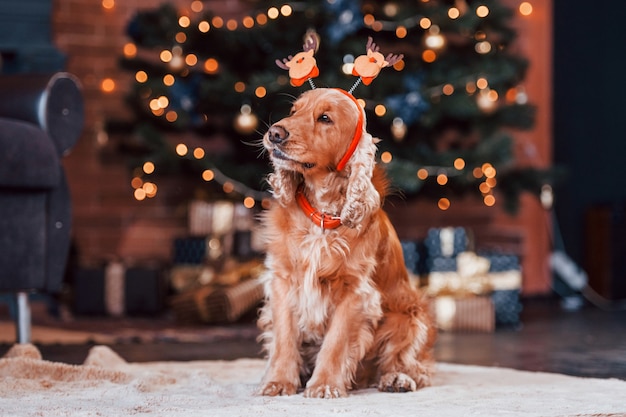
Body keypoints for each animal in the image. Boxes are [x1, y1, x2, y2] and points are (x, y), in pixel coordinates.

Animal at [256, 87, 432, 396]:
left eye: (325, 118)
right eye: (294, 111)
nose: (274, 133)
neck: (322, 213)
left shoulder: (355, 291)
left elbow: (336, 341)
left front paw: (325, 385)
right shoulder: (282, 280)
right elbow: (284, 336)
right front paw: (278, 382)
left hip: (409, 316)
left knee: (408, 363)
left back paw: (396, 379)